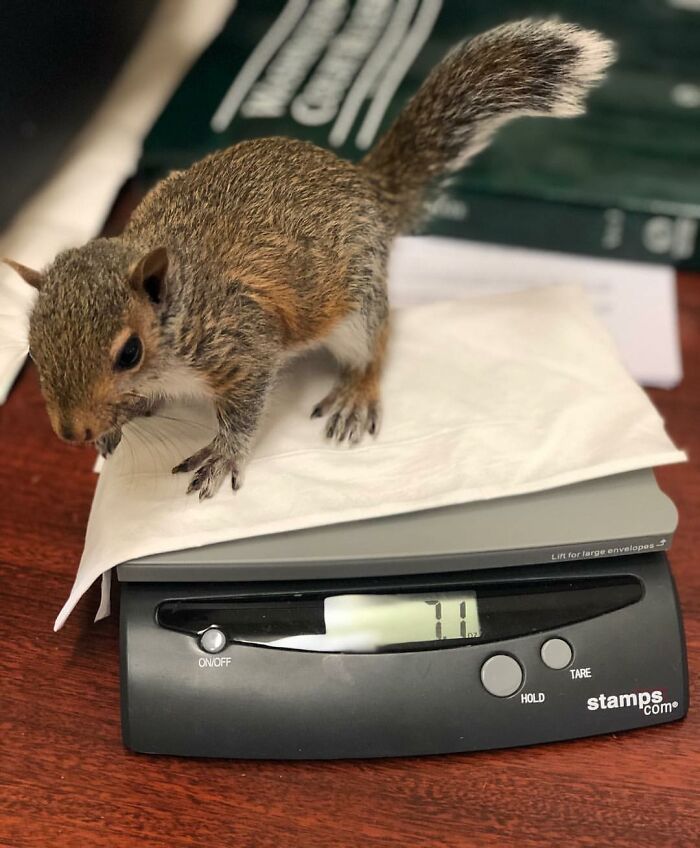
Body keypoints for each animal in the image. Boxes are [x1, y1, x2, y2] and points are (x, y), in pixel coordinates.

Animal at [5, 19, 614, 499]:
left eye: (128, 352)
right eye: (31, 349)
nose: (70, 433)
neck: (182, 311)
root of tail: (363, 182)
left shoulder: (244, 344)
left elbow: (245, 409)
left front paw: (222, 453)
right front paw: (118, 423)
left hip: (357, 303)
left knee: (375, 343)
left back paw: (356, 391)